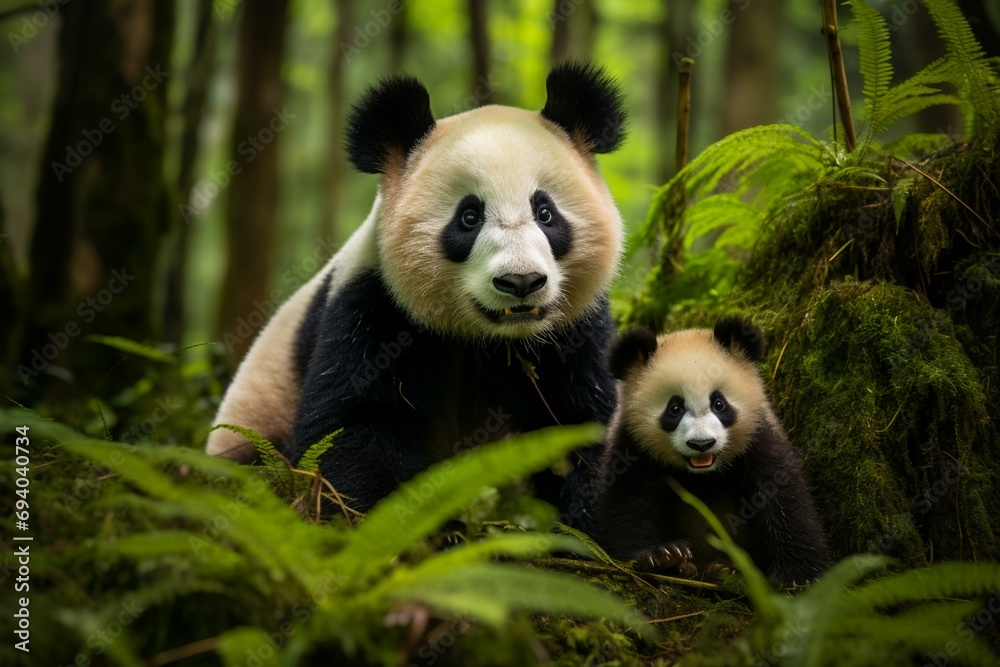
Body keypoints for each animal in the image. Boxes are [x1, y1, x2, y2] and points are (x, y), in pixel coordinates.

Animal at [206, 63, 628, 529]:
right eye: (469, 217)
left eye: (546, 212)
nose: (520, 282)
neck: (489, 340)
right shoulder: (375, 305)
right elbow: (362, 426)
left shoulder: (575, 328)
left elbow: (581, 420)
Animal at [595, 317, 829, 584]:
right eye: (674, 408)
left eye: (719, 404)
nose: (701, 444)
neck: (703, 475)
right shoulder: (632, 446)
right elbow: (628, 502)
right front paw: (661, 555)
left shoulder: (758, 438)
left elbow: (782, 496)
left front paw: (795, 576)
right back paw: (688, 566)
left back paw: (721, 568)